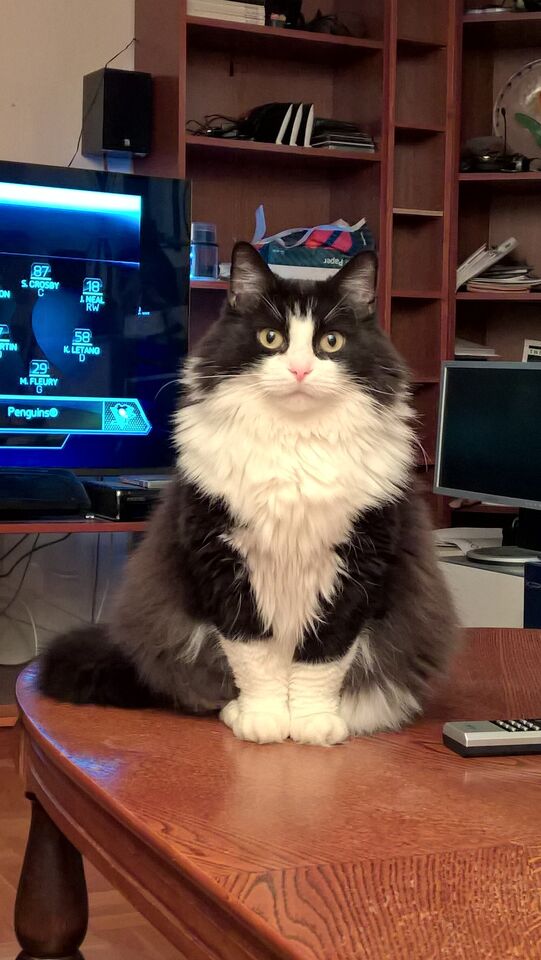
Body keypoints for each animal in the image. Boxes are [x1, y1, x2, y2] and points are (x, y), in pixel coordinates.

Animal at [40, 242, 458, 746]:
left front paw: (314, 724)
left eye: (330, 343)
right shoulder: (222, 559)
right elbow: (253, 655)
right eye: (271, 338)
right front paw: (263, 719)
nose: (300, 369)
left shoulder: (360, 563)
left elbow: (324, 656)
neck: (294, 445)